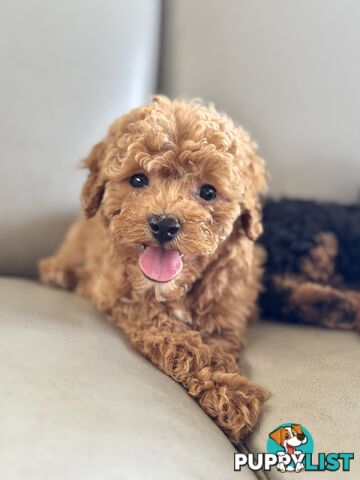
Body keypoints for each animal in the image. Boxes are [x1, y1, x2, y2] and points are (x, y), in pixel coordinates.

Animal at [40, 95, 268, 444]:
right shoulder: (124, 296)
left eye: (208, 191)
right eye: (138, 179)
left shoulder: (226, 311)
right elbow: (175, 333)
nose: (164, 223)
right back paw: (58, 273)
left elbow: (217, 344)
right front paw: (228, 390)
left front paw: (228, 388)